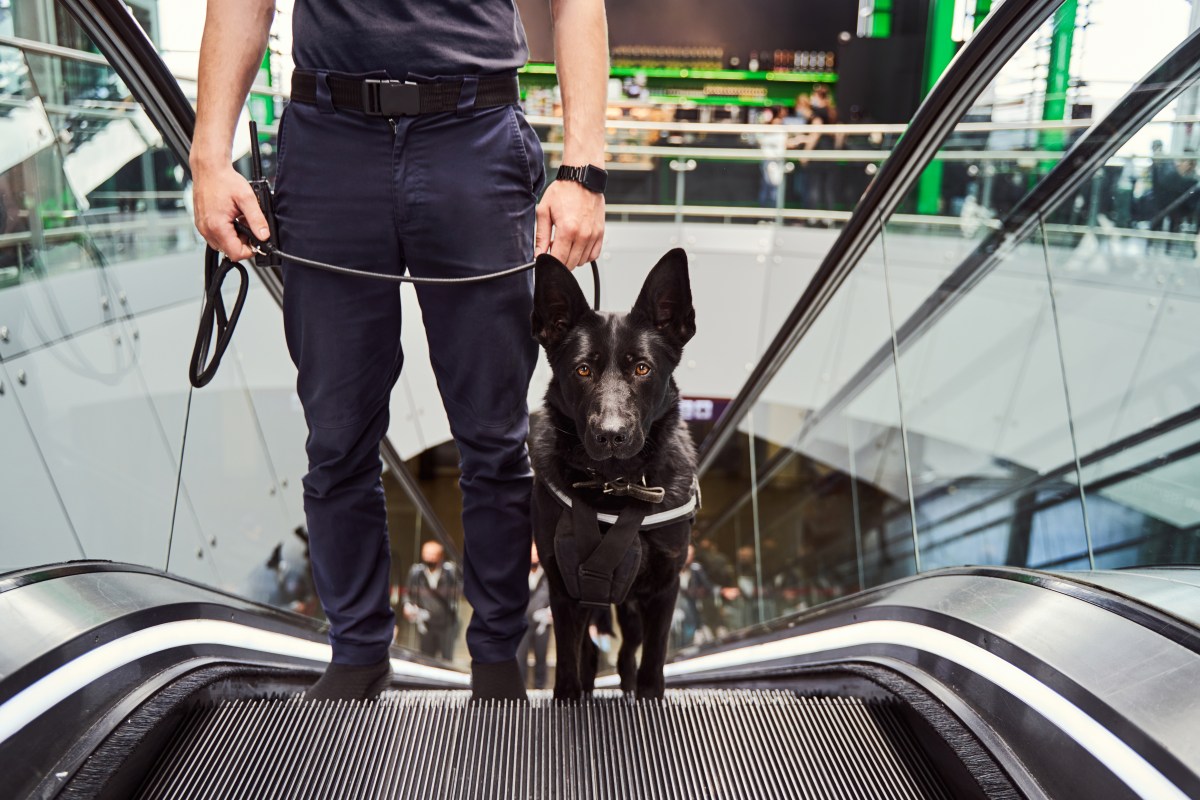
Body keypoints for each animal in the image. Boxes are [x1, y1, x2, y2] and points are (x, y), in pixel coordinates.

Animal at [530, 248, 700, 700]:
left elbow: (652, 662)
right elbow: (568, 664)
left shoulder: (664, 589)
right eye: (582, 370)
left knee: (626, 654)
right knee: (590, 652)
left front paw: (646, 697)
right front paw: (569, 698)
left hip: (631, 609)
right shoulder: (564, 590)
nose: (611, 435)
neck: (615, 483)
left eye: (642, 369)